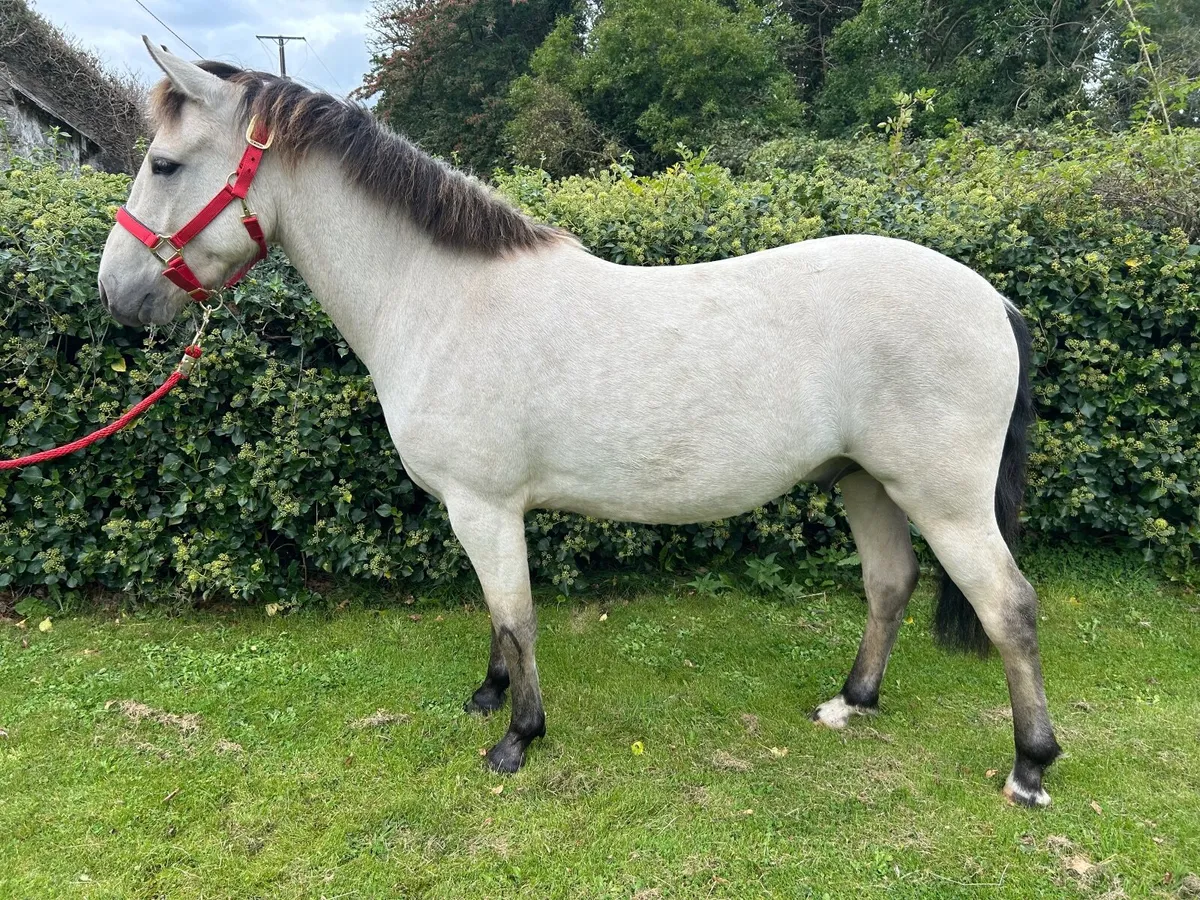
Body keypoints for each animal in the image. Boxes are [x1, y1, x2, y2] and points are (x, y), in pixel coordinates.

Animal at [97, 38, 1062, 807]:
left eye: (166, 164)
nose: (116, 293)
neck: (440, 296)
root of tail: (994, 300)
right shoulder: (479, 511)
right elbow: (497, 612)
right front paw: (489, 696)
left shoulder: (484, 506)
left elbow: (515, 612)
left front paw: (516, 737)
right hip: (864, 481)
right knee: (891, 585)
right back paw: (851, 702)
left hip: (943, 497)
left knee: (1009, 605)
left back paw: (1030, 766)